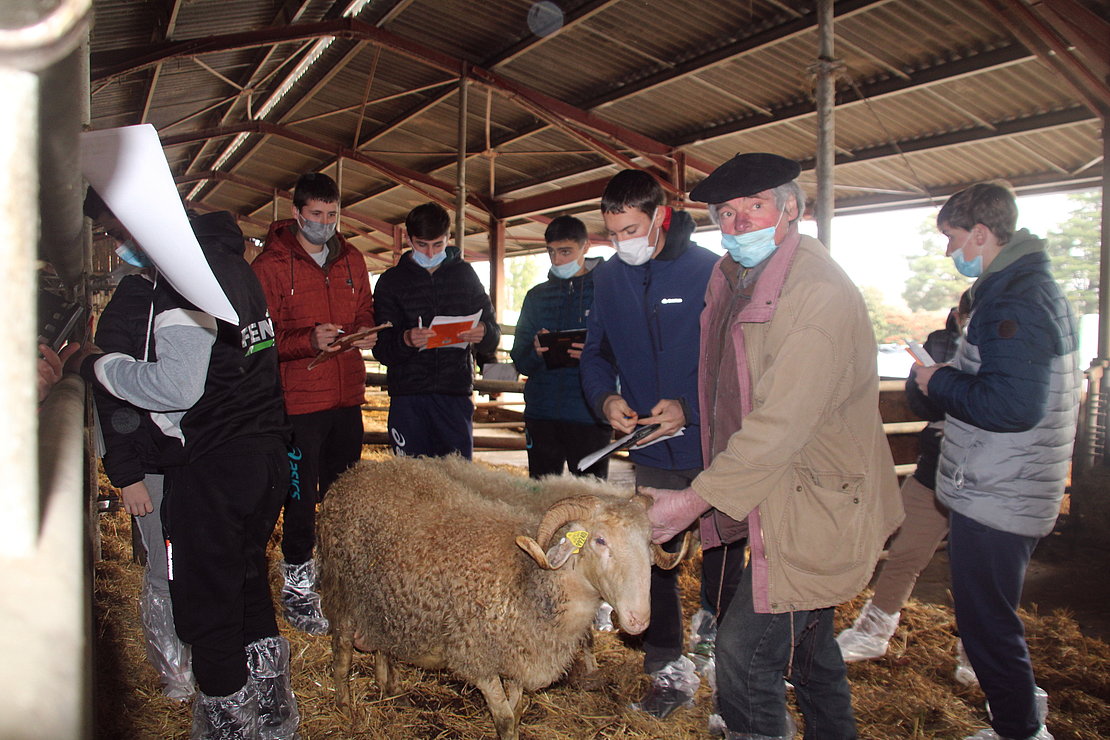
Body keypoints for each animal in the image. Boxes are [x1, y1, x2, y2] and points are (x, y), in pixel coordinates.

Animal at [317, 454, 688, 736]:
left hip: (382, 602)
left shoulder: (518, 659)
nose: (638, 621)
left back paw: (389, 688)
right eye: (599, 541)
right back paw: (345, 708)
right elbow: (506, 719)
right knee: (342, 656)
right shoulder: (477, 658)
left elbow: (517, 708)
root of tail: (354, 473)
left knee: (382, 646)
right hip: (342, 594)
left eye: (648, 542)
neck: (529, 582)